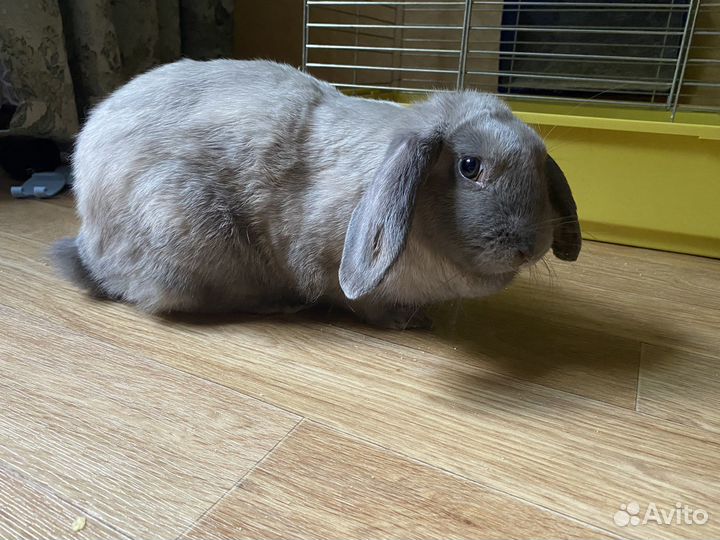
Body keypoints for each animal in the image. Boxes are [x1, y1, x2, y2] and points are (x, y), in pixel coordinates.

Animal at [52, 58, 581, 329]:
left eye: (540, 161)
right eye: (470, 167)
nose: (529, 247)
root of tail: (88, 242)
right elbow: (362, 302)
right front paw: (405, 321)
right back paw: (277, 305)